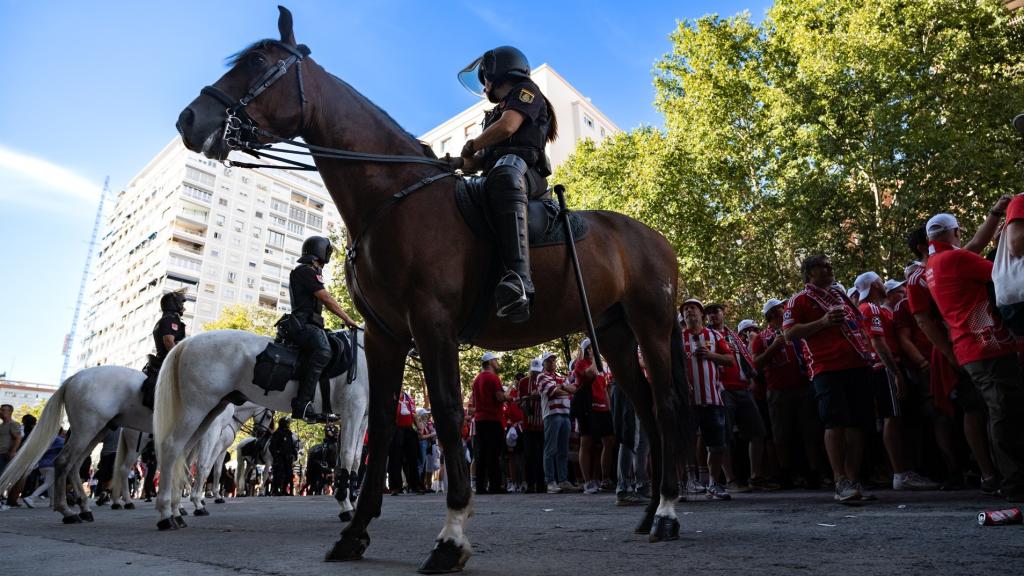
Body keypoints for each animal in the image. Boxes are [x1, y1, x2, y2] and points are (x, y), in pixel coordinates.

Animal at [153, 327, 370, 528]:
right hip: (196, 409)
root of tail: (188, 342)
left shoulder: (363, 417)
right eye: (269, 415)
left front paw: (352, 501)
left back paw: (176, 511)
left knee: (183, 455)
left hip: (207, 413)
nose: (261, 433)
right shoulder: (353, 409)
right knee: (172, 447)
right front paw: (345, 505)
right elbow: (347, 455)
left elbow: (357, 459)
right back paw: (166, 515)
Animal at [178, 7, 688, 569]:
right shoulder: (386, 336)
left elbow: (446, 412)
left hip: (651, 325)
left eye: (257, 63)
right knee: (644, 410)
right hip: (616, 334)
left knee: (666, 407)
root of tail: (656, 238)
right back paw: (650, 512)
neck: (393, 197)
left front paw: (452, 534)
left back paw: (667, 512)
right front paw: (356, 531)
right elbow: (381, 427)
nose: (189, 120)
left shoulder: (432, 325)